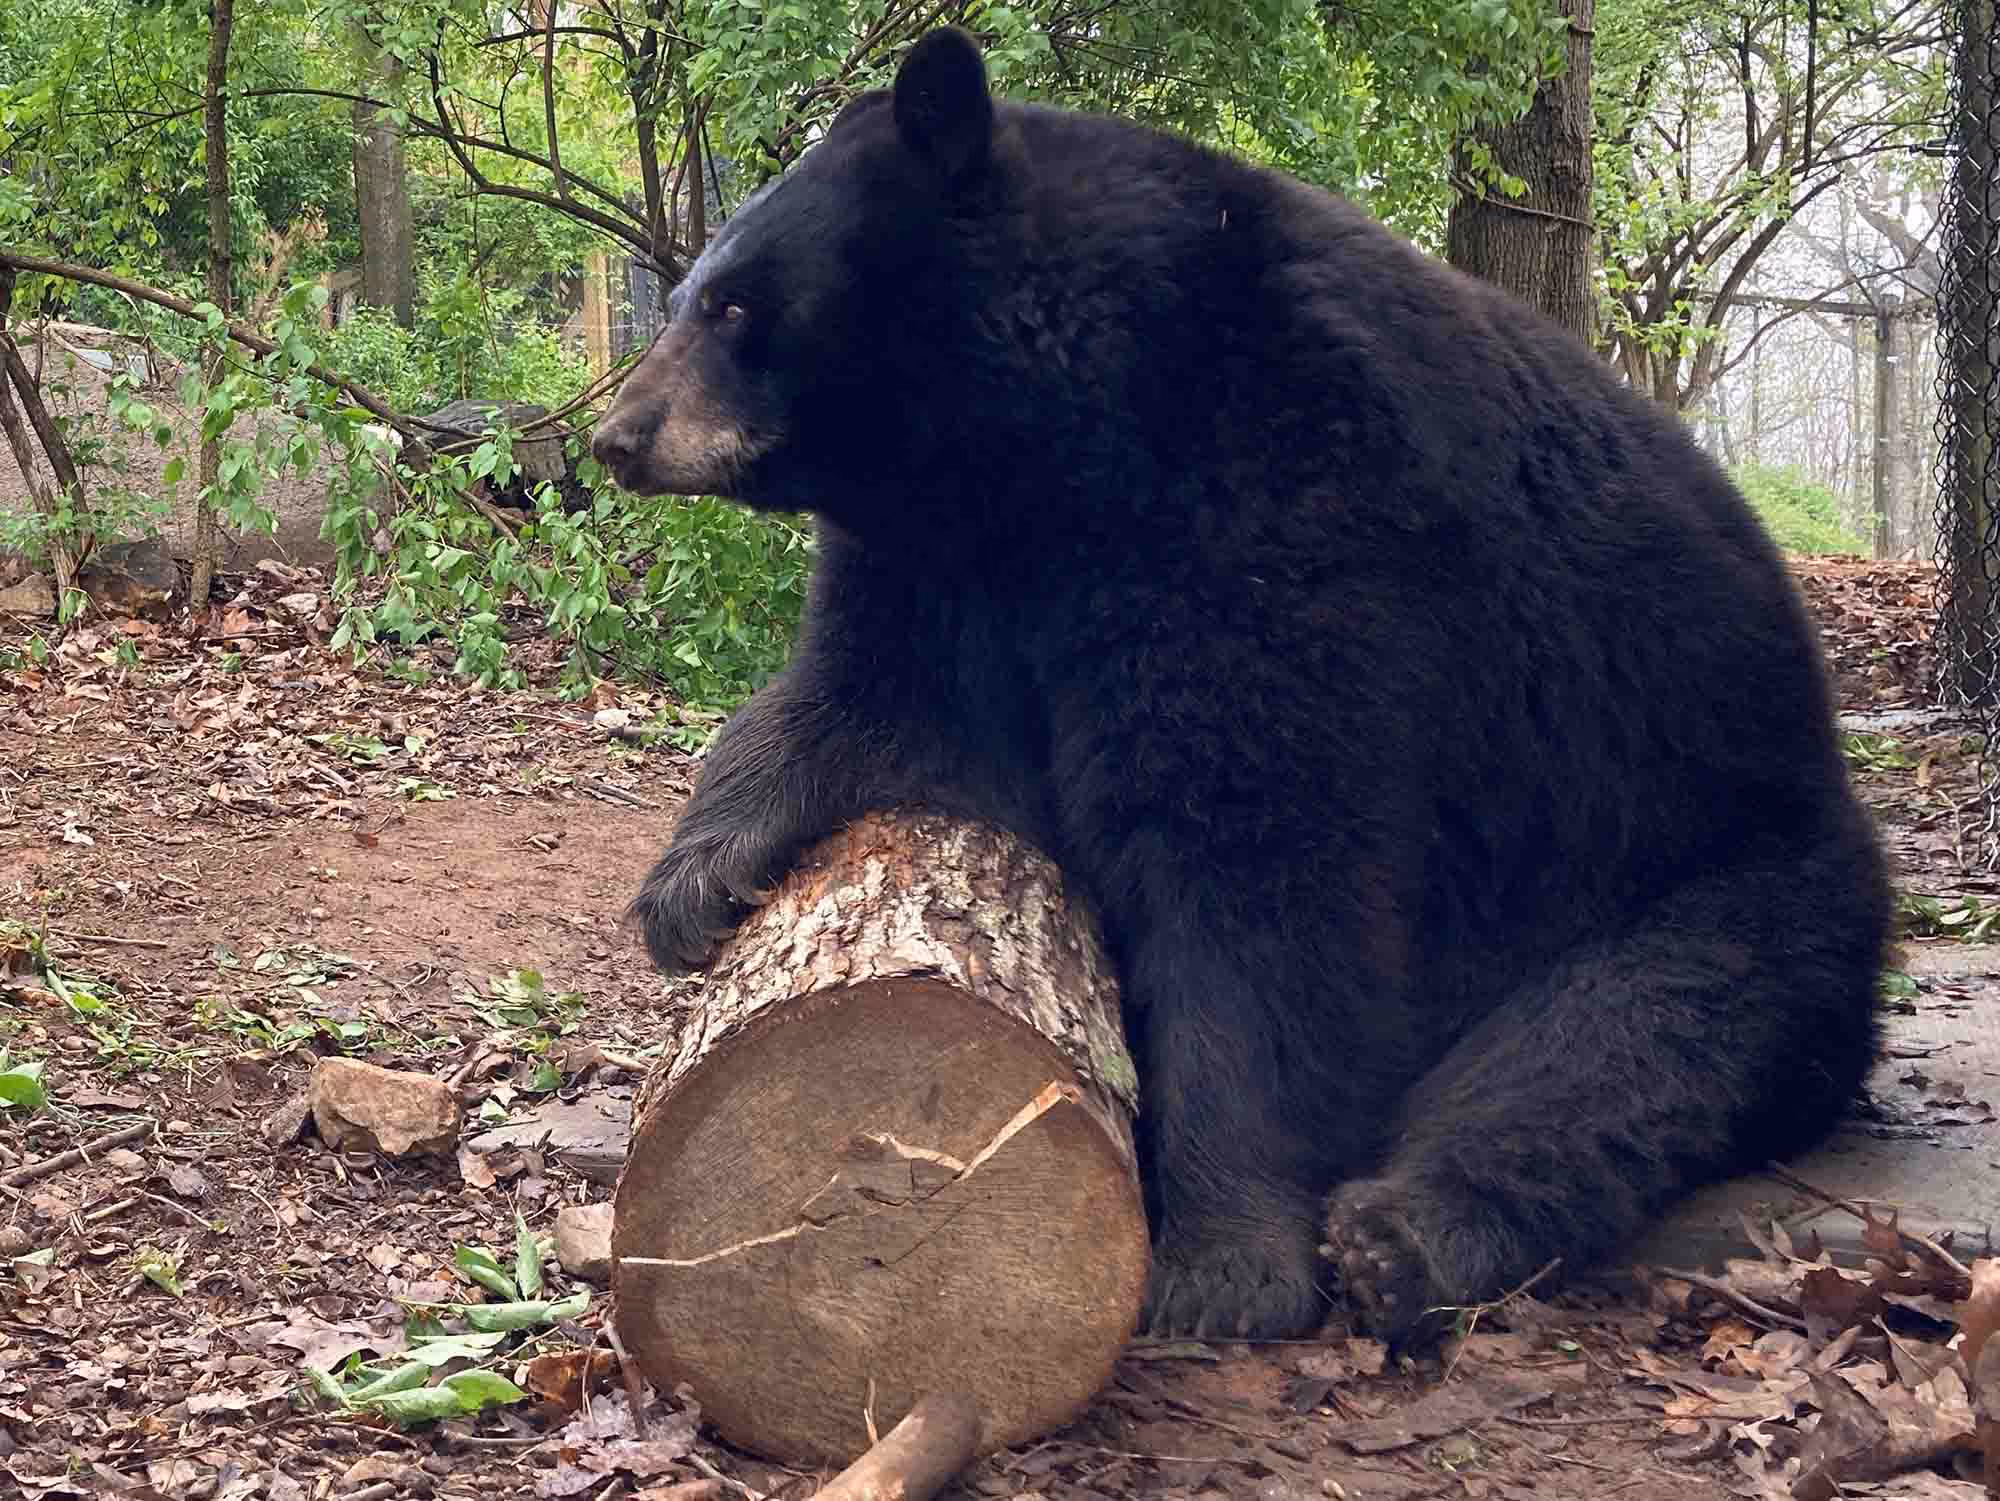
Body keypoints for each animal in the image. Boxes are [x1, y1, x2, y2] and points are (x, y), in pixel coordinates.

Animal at [590, 26, 1892, 1349]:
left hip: (1703, 859)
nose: (617, 436)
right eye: (692, 295)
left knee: (1616, 1046)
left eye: (734, 303)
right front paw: (692, 881)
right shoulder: (951, 550)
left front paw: (1221, 1261)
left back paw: (1401, 1234)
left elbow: (1258, 868)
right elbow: (876, 700)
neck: (1051, 435)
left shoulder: (1287, 515)